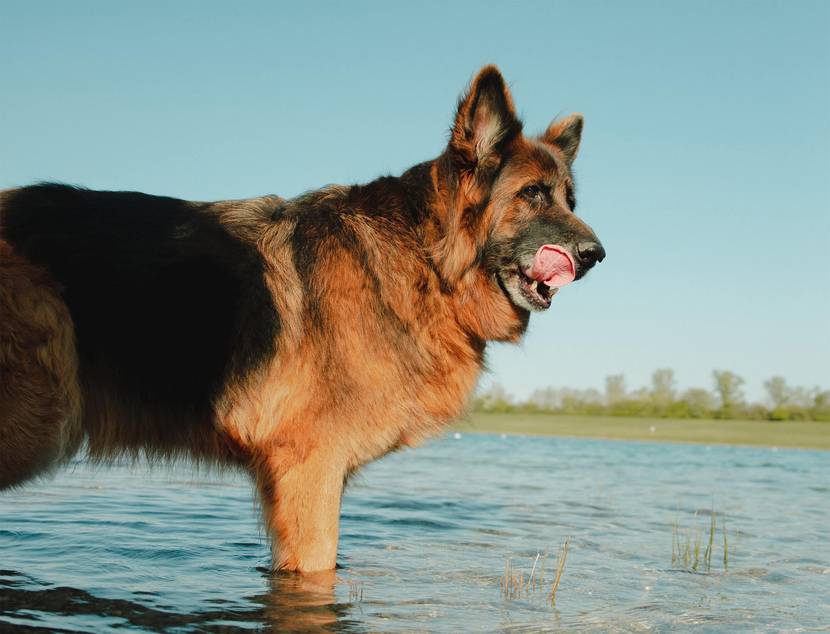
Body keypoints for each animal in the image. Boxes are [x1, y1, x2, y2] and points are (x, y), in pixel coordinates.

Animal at [3, 65, 608, 572]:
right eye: (533, 194)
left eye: (570, 199)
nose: (596, 255)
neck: (423, 257)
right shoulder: (310, 469)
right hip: (38, 418)